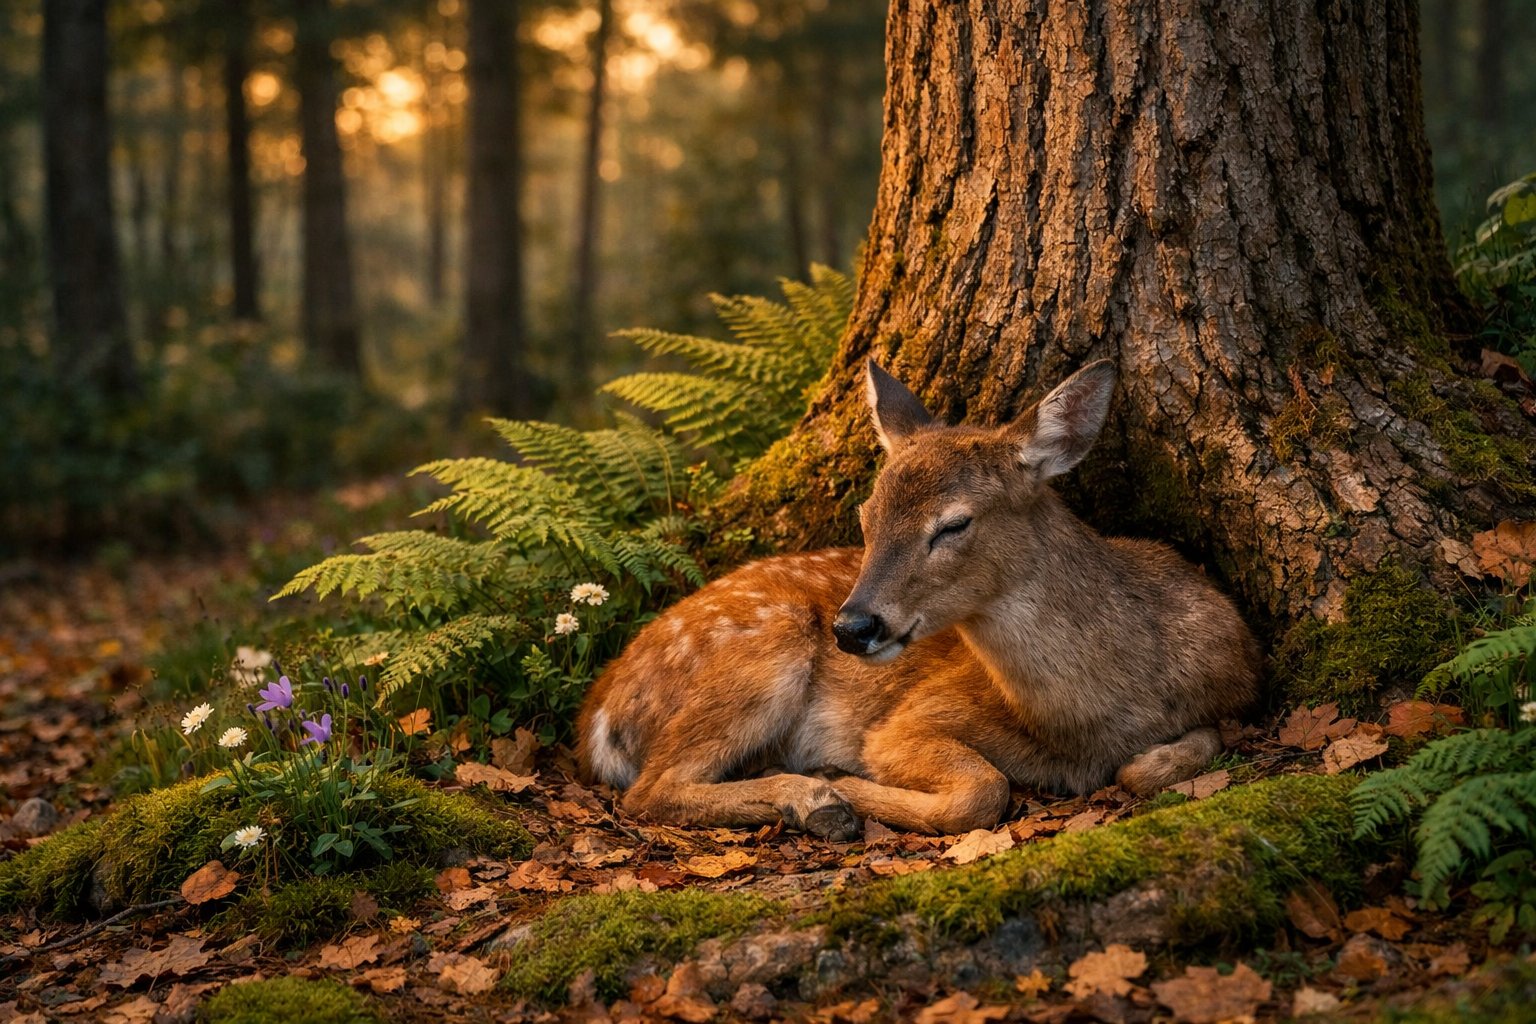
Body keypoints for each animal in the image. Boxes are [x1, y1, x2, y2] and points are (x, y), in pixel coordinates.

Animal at [576, 359, 1260, 840]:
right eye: (866, 517)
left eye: (953, 524)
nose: (852, 627)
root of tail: (599, 712)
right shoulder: (907, 720)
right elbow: (984, 790)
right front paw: (838, 783)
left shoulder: (1235, 687)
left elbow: (1181, 752)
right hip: (765, 647)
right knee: (648, 791)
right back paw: (812, 799)